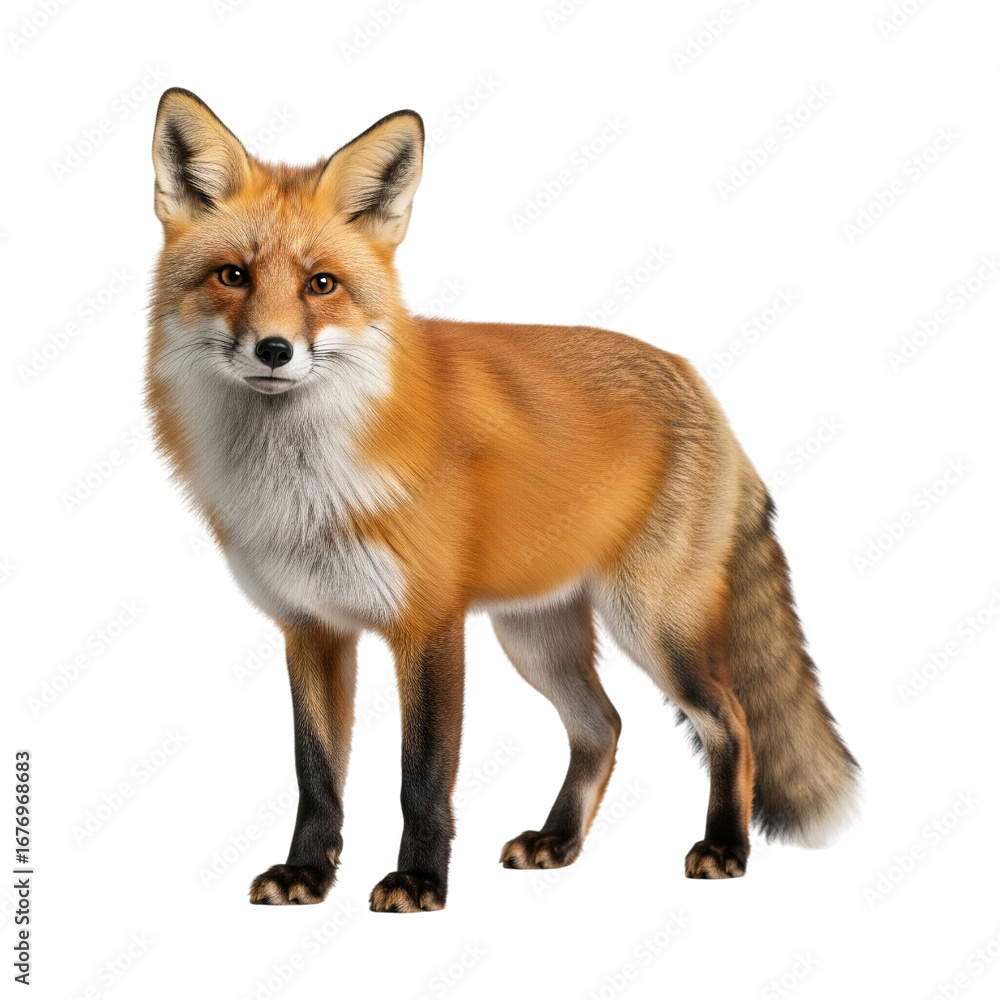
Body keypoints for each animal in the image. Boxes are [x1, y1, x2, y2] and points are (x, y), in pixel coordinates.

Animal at [146, 88, 859, 912]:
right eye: (232, 275)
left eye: (321, 284)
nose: (273, 350)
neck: (305, 487)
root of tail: (695, 379)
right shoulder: (311, 628)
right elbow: (316, 775)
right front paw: (308, 875)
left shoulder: (429, 624)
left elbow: (422, 777)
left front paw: (419, 881)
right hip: (536, 636)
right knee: (603, 726)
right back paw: (560, 841)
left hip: (654, 625)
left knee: (731, 722)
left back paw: (726, 846)